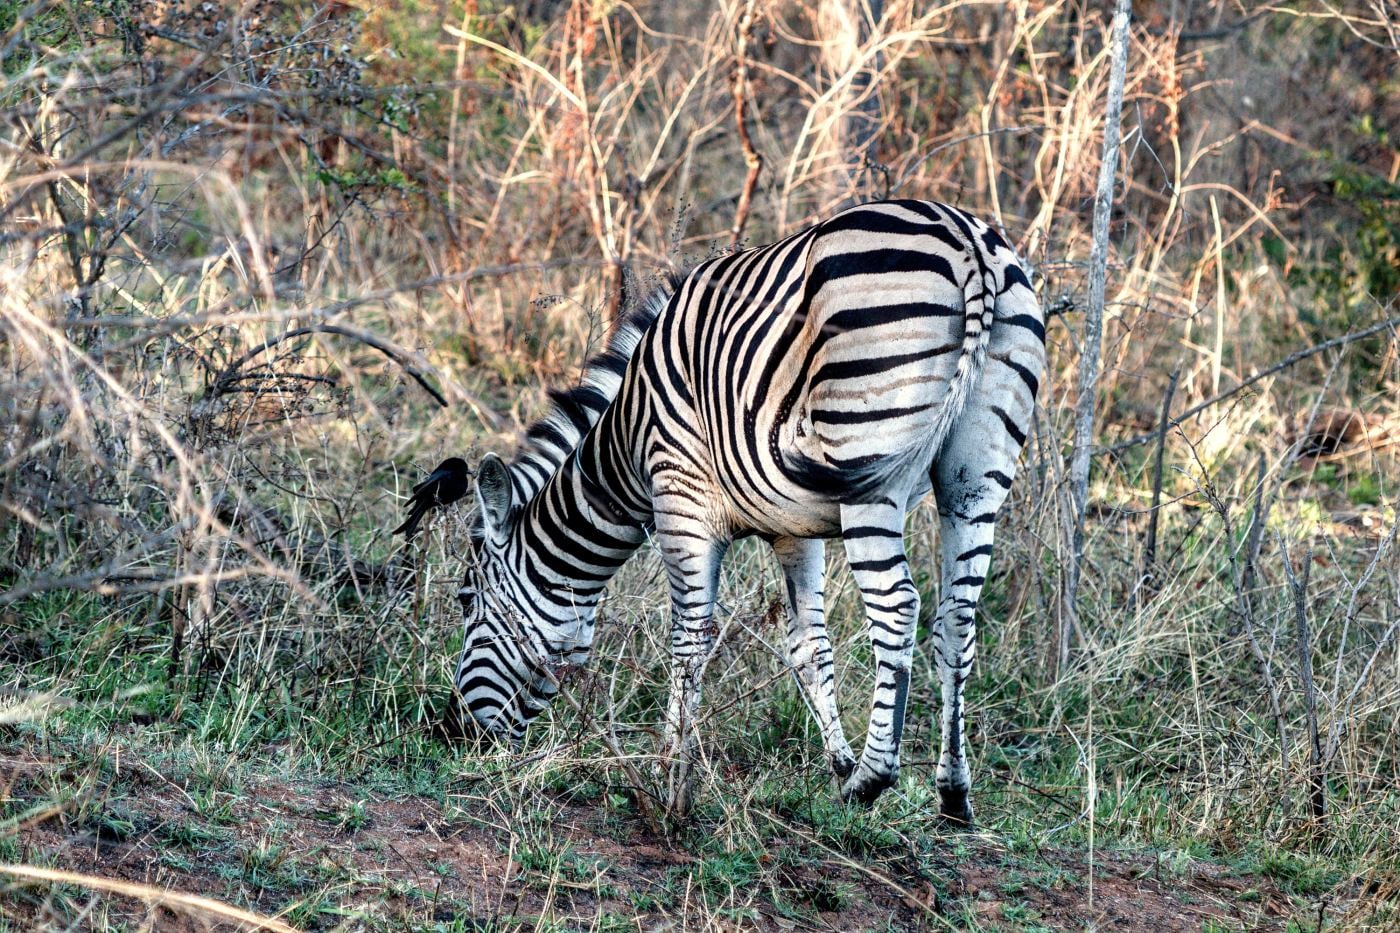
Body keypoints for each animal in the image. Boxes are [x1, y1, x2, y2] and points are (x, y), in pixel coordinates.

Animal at [398, 198, 1046, 822]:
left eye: (465, 602)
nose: (453, 733)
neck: (625, 443)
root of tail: (967, 241)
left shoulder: (680, 501)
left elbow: (688, 639)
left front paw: (669, 769)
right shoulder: (794, 531)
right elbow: (808, 646)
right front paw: (834, 764)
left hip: (870, 463)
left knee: (898, 608)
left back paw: (873, 777)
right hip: (975, 472)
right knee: (957, 619)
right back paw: (952, 795)